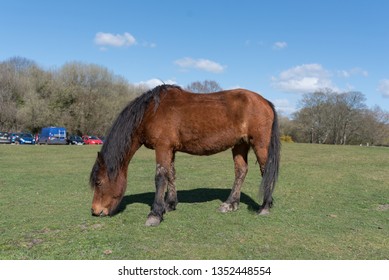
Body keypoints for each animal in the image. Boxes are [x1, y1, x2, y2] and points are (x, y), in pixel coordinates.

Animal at [90, 84, 278, 226]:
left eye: (98, 182)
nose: (95, 211)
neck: (151, 112)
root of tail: (265, 102)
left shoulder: (163, 147)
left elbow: (160, 178)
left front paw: (155, 213)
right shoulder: (170, 150)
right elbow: (171, 175)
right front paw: (169, 205)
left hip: (260, 144)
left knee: (265, 171)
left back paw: (265, 207)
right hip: (240, 145)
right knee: (241, 171)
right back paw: (230, 204)